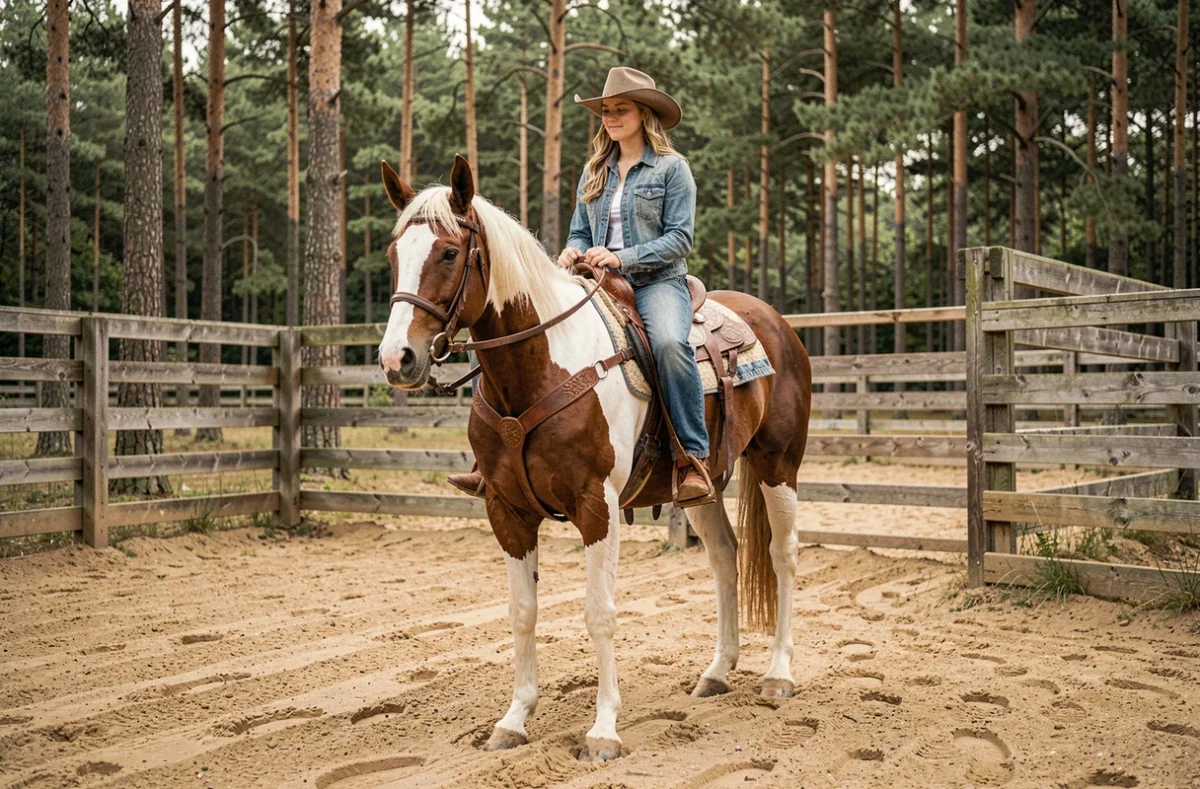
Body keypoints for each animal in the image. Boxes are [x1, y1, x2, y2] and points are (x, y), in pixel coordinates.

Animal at [377, 155, 812, 762]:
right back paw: (717, 673)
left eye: (447, 252)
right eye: (394, 255)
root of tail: (776, 324)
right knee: (725, 556)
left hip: (778, 464)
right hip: (702, 483)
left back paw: (778, 675)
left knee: (781, 555)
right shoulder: (506, 511)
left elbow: (599, 613)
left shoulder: (596, 507)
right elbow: (522, 613)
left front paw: (603, 731)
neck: (540, 369)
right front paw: (513, 720)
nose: (397, 358)